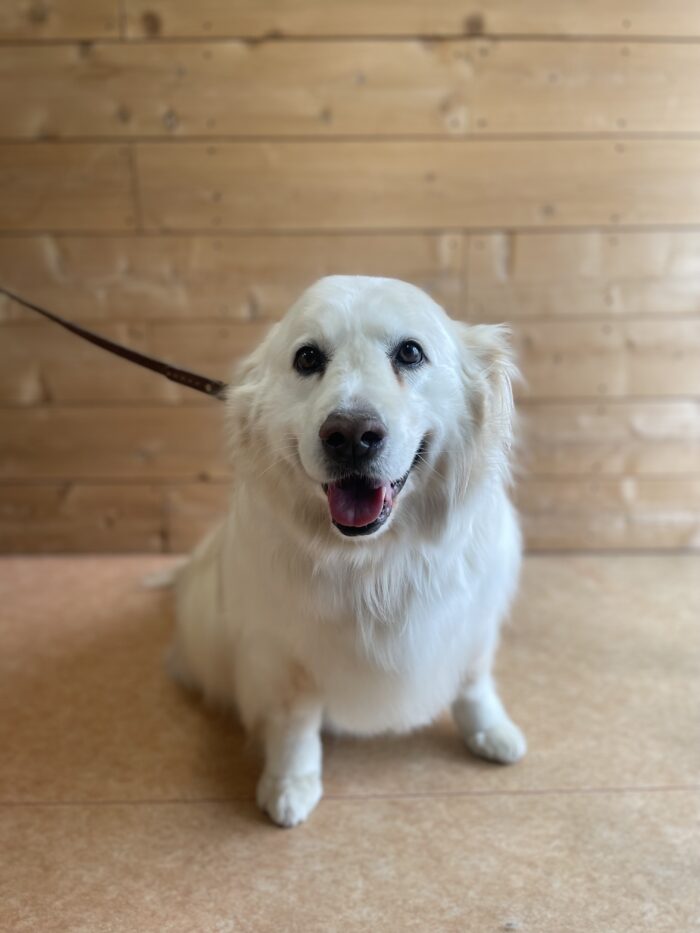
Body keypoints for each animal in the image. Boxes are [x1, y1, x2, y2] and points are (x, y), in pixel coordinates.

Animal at [170, 275, 526, 827]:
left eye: (410, 352)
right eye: (307, 357)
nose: (352, 436)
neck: (375, 560)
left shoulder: (471, 624)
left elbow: (472, 683)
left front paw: (489, 731)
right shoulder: (282, 654)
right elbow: (294, 726)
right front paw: (290, 785)